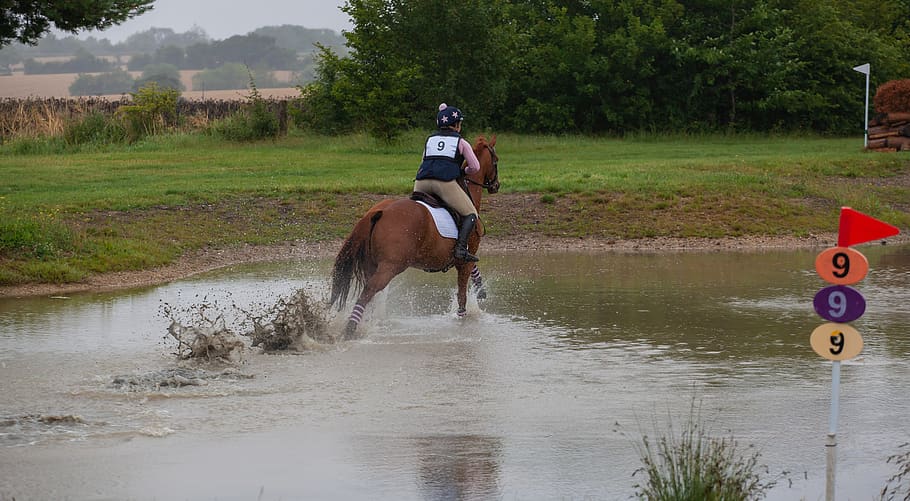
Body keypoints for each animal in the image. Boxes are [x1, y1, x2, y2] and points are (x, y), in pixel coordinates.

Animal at [330, 134, 502, 336]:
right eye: (496, 161)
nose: (496, 185)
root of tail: (379, 212)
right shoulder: (465, 257)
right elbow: (462, 297)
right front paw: (464, 320)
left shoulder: (463, 255)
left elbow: (472, 270)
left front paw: (481, 291)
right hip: (391, 266)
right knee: (369, 290)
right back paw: (350, 329)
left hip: (371, 264)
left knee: (370, 294)